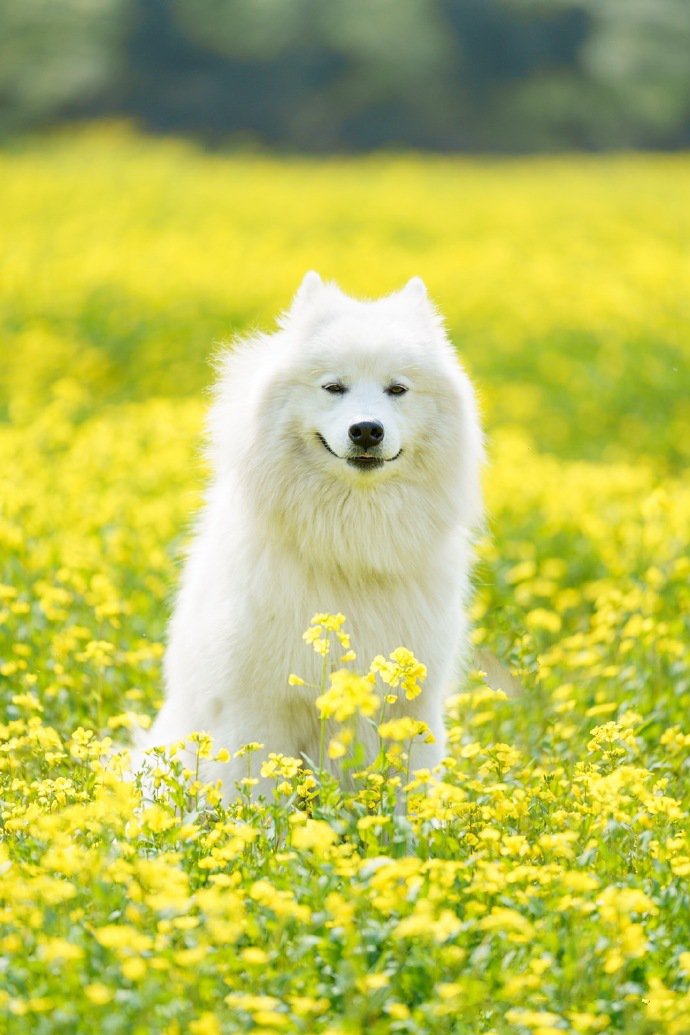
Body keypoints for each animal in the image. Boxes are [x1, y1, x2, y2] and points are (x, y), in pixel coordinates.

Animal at [142, 273, 484, 790]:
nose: (367, 430)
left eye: (397, 389)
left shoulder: (412, 705)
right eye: (333, 387)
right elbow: (259, 789)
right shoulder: (258, 707)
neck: (350, 545)